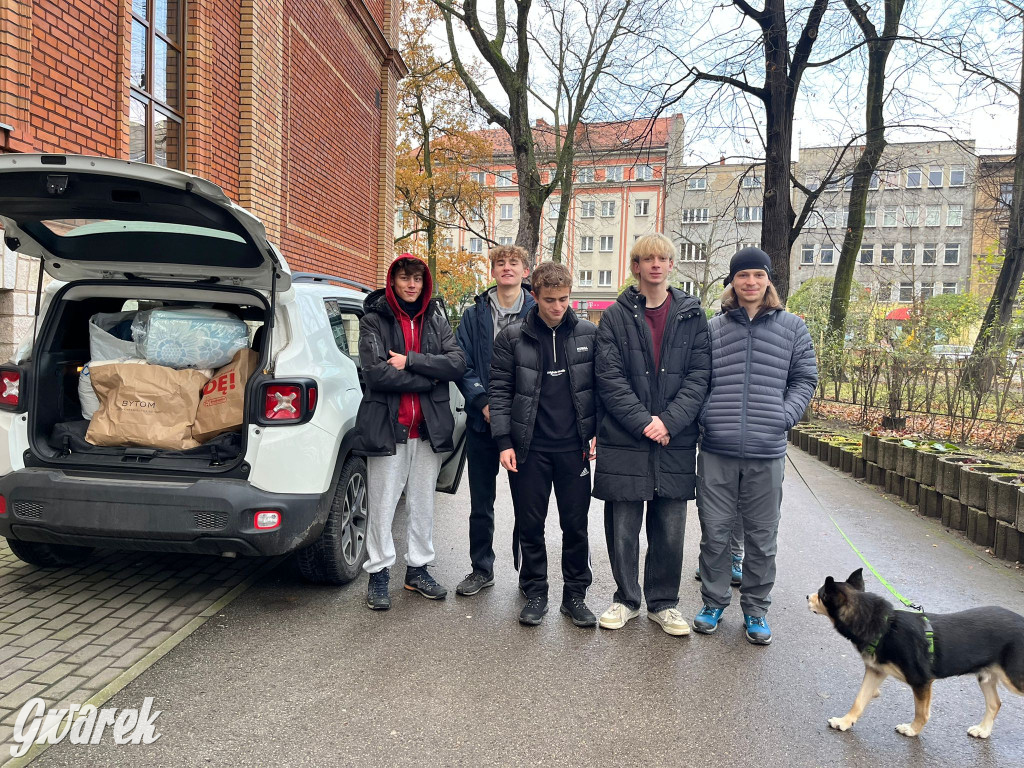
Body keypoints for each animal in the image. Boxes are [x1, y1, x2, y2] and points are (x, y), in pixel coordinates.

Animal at [806, 573, 1024, 741]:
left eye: (821, 594)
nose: (807, 596)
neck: (885, 626)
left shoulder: (921, 681)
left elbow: (921, 712)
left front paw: (912, 730)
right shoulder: (876, 672)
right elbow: (859, 700)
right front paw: (844, 721)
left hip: (1014, 679)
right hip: (986, 676)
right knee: (995, 703)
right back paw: (983, 730)